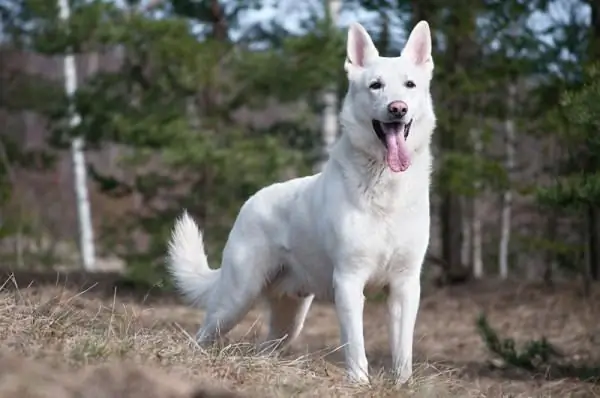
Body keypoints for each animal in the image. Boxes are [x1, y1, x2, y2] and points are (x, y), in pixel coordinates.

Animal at [169, 20, 436, 384]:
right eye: (375, 86)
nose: (398, 108)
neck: (385, 184)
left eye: (410, 85)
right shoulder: (349, 281)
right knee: (202, 335)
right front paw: (359, 383)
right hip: (234, 299)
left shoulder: (405, 286)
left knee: (264, 348)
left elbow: (402, 352)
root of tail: (250, 201)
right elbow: (356, 346)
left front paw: (402, 385)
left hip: (289, 321)